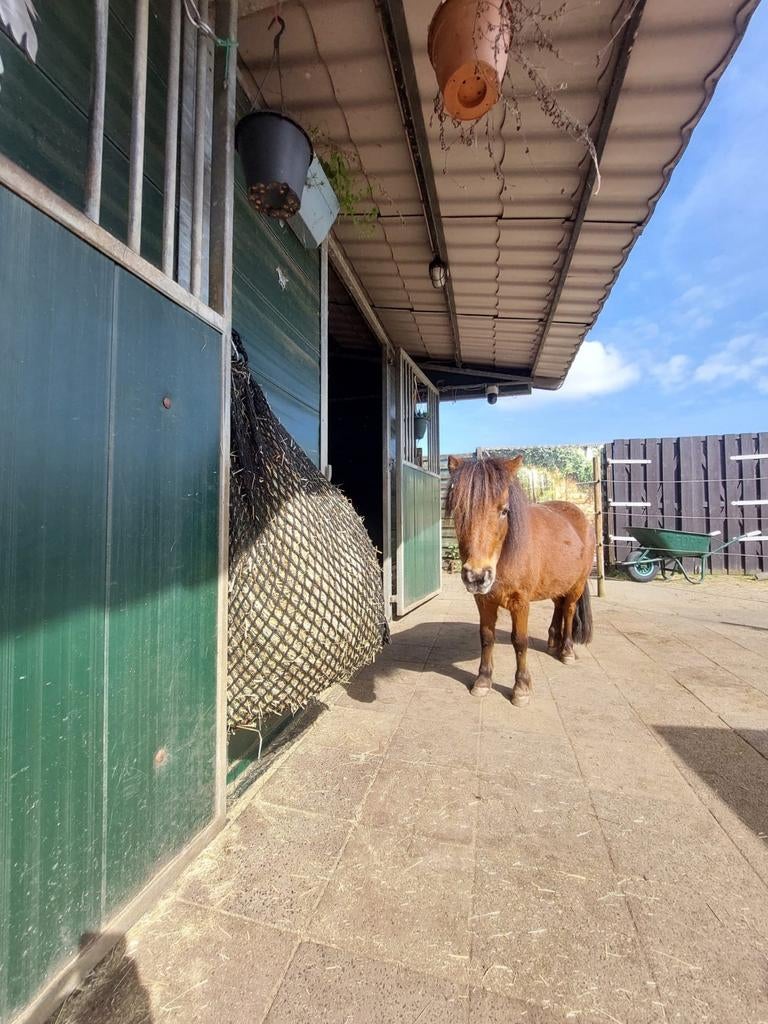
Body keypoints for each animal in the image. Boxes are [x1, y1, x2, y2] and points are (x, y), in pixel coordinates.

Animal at [446, 454, 595, 707]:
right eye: (459, 510)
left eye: (505, 511)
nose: (477, 576)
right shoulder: (483, 600)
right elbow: (486, 637)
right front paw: (483, 681)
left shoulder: (520, 603)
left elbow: (520, 641)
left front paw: (521, 688)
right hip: (556, 583)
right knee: (559, 606)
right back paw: (553, 642)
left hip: (576, 585)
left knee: (569, 610)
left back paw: (566, 650)